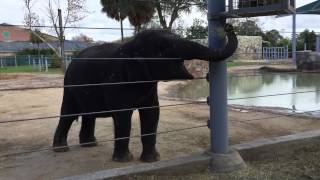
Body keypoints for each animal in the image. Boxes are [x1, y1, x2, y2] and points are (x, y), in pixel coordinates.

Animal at [53, 23, 238, 162]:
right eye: (163, 49)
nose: (228, 26)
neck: (130, 46)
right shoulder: (116, 80)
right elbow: (123, 116)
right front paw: (124, 160)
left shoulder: (149, 86)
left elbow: (152, 113)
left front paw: (152, 159)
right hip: (69, 86)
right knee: (68, 113)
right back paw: (61, 149)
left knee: (88, 115)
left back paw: (90, 144)